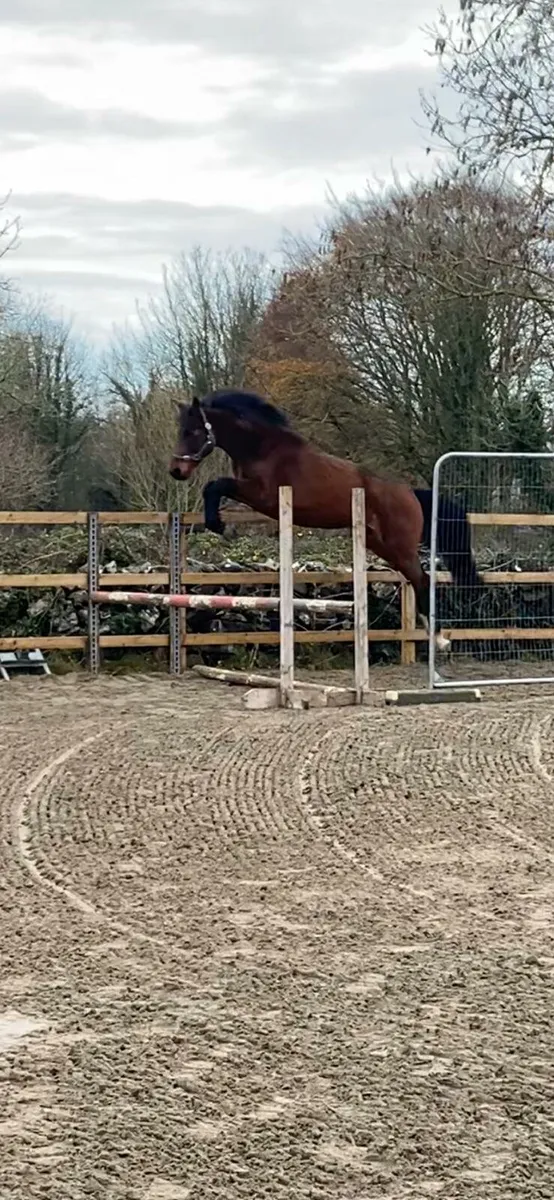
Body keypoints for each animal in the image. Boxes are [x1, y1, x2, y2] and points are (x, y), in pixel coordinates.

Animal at [169, 389, 481, 647]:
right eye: (180, 431)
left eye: (193, 431)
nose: (176, 472)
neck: (262, 448)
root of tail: (410, 493)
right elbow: (216, 488)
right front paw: (217, 524)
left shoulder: (262, 495)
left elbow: (216, 485)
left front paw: (219, 525)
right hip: (381, 545)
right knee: (417, 579)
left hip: (400, 547)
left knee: (422, 580)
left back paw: (439, 639)